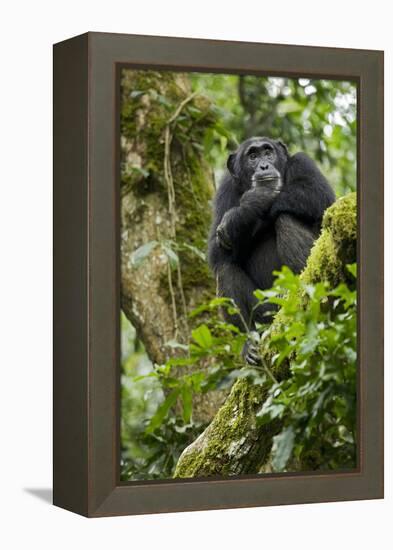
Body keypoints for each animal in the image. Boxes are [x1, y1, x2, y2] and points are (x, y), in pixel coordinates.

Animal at [205, 136, 334, 364]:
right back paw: (249, 344)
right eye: (253, 156)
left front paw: (252, 203)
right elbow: (216, 251)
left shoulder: (304, 162)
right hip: (265, 313)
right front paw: (249, 206)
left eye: (268, 152)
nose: (264, 165)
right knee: (225, 268)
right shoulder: (225, 190)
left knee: (285, 219)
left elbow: (319, 194)